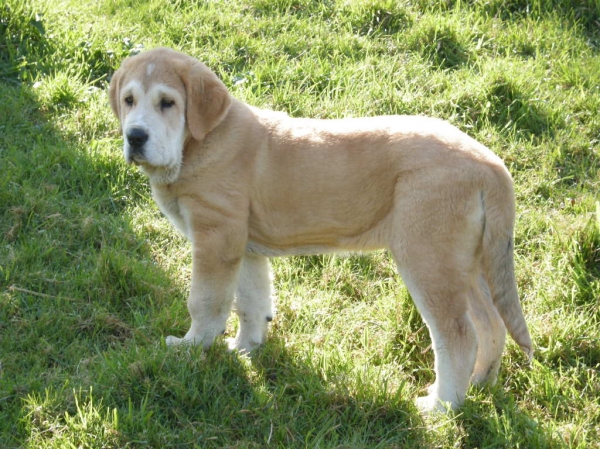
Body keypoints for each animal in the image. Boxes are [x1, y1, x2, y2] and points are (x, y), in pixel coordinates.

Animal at [110, 47, 532, 412]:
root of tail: (489, 163)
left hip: (429, 259)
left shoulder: (216, 238)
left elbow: (205, 301)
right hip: (465, 264)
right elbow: (251, 303)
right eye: (129, 101)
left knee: (458, 336)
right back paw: (479, 384)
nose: (135, 136)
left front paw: (191, 346)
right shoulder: (244, 246)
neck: (199, 143)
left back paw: (441, 407)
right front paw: (246, 349)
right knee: (491, 324)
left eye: (167, 103)